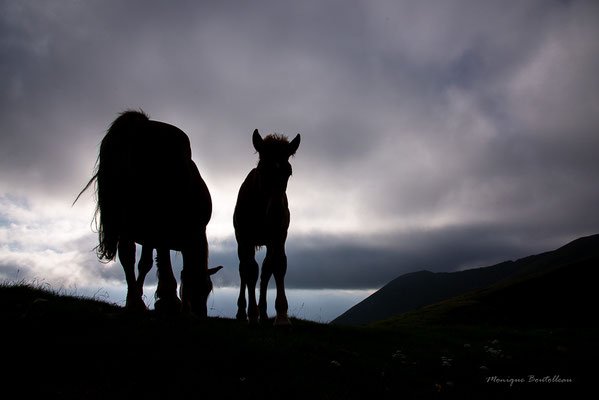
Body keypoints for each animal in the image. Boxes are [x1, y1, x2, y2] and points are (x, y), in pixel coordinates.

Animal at [77, 109, 223, 316]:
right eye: (197, 288)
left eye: (208, 289)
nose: (199, 315)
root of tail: (139, 126)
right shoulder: (158, 229)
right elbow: (158, 260)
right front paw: (168, 298)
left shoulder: (153, 234)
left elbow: (152, 260)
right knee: (133, 256)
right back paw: (139, 301)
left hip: (123, 214)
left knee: (127, 254)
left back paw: (134, 300)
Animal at [234, 129, 300, 324]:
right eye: (262, 169)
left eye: (289, 172)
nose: (277, 213)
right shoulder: (247, 239)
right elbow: (250, 271)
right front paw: (252, 314)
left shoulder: (278, 237)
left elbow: (277, 265)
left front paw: (282, 316)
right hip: (241, 241)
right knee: (244, 269)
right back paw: (243, 312)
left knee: (265, 270)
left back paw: (263, 314)